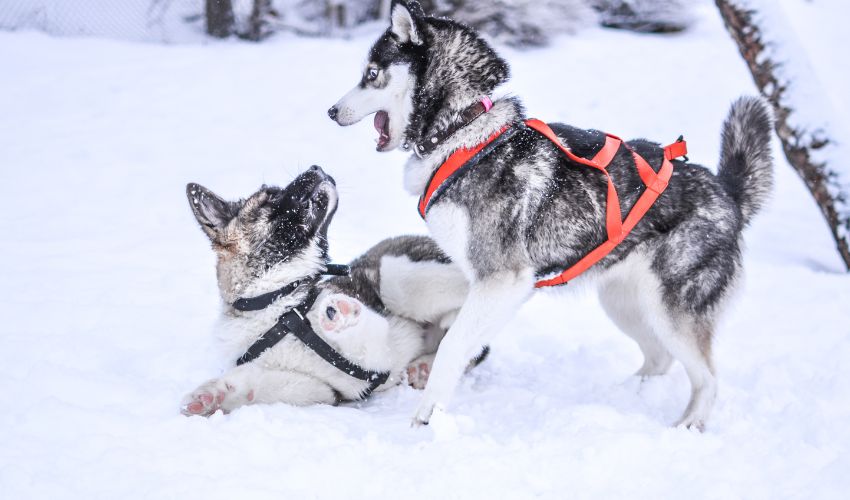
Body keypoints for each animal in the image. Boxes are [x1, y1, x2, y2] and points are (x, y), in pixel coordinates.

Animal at [183, 166, 470, 416]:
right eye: (271, 197)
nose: (316, 167)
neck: (277, 304)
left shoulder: (381, 351)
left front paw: (342, 315)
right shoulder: (321, 389)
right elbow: (255, 381)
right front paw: (213, 395)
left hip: (396, 275)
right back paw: (424, 366)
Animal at [328, 0, 772, 430]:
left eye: (371, 74)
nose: (331, 110)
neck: (462, 131)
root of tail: (727, 193)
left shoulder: (502, 279)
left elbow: (452, 345)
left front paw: (427, 416)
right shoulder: (495, 288)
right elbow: (461, 340)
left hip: (672, 311)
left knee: (707, 378)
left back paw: (689, 424)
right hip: (623, 303)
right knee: (659, 359)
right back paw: (624, 395)